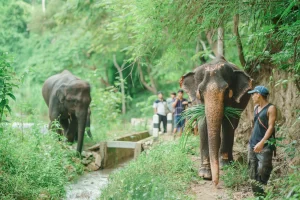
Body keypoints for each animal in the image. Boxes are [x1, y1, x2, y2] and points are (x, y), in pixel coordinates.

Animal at [180, 56, 253, 186]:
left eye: (226, 90)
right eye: (200, 90)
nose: (215, 183)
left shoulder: (233, 101)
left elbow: (228, 124)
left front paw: (224, 165)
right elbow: (203, 124)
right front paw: (204, 175)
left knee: (233, 126)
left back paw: (229, 161)